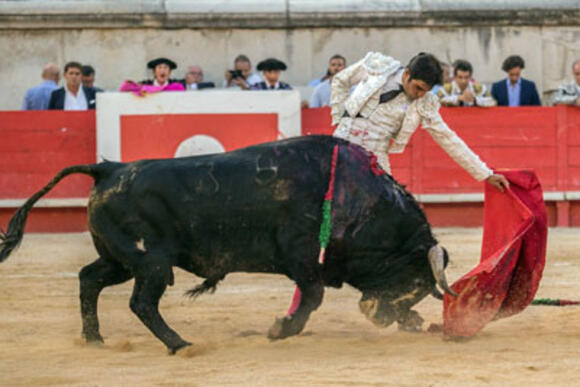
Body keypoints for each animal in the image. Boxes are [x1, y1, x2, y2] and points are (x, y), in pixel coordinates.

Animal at [0, 136, 454, 354]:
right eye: (415, 281)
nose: (388, 317)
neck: (359, 200)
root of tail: (109, 169)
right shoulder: (303, 257)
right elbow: (312, 297)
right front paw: (280, 330)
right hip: (152, 262)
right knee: (141, 302)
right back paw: (180, 345)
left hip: (120, 260)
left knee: (89, 279)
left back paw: (94, 339)